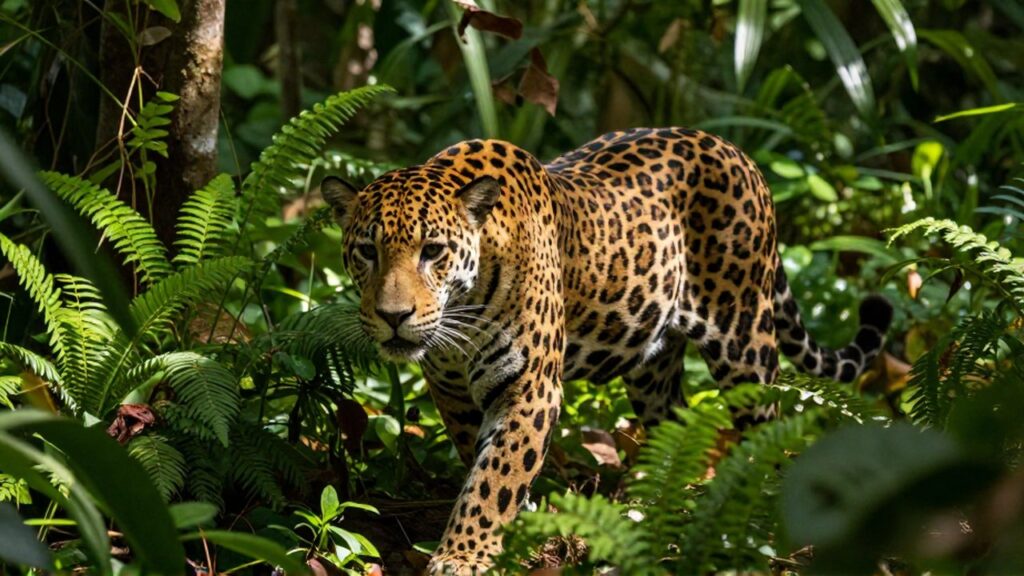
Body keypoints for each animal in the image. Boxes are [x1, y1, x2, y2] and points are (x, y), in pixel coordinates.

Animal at [320, 127, 892, 574]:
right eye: (367, 251)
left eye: (432, 251)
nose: (394, 317)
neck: (463, 304)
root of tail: (735, 149)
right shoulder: (451, 388)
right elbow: (480, 461)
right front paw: (519, 519)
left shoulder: (529, 387)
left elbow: (495, 475)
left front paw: (465, 555)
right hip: (653, 367)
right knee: (675, 422)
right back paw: (655, 502)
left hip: (745, 340)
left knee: (769, 424)